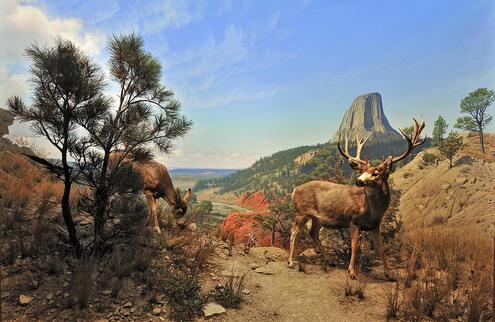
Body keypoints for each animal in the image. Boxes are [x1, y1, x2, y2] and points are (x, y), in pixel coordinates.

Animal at [288, 117, 428, 280]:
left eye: (375, 173)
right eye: (363, 171)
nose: (358, 180)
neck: (372, 210)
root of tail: (294, 190)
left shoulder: (375, 226)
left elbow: (380, 248)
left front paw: (389, 274)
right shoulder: (353, 220)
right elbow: (354, 246)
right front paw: (352, 272)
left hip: (317, 218)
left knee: (313, 233)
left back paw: (329, 261)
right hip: (302, 212)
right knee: (294, 231)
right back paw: (290, 262)